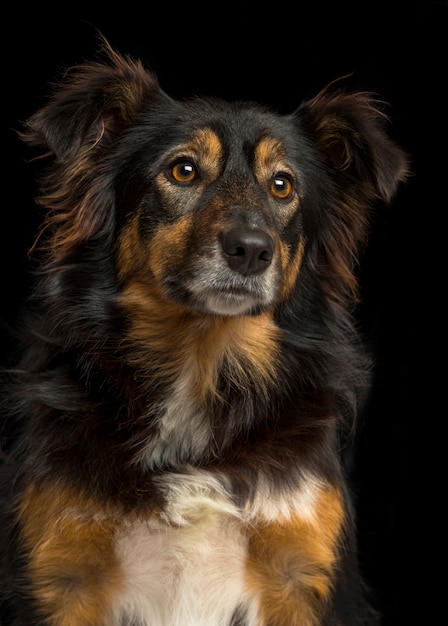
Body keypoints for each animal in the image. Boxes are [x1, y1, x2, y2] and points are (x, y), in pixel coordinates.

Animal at [0, 37, 408, 624]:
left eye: (282, 185)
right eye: (184, 171)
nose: (252, 250)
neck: (202, 357)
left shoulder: (301, 572)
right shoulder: (63, 574)